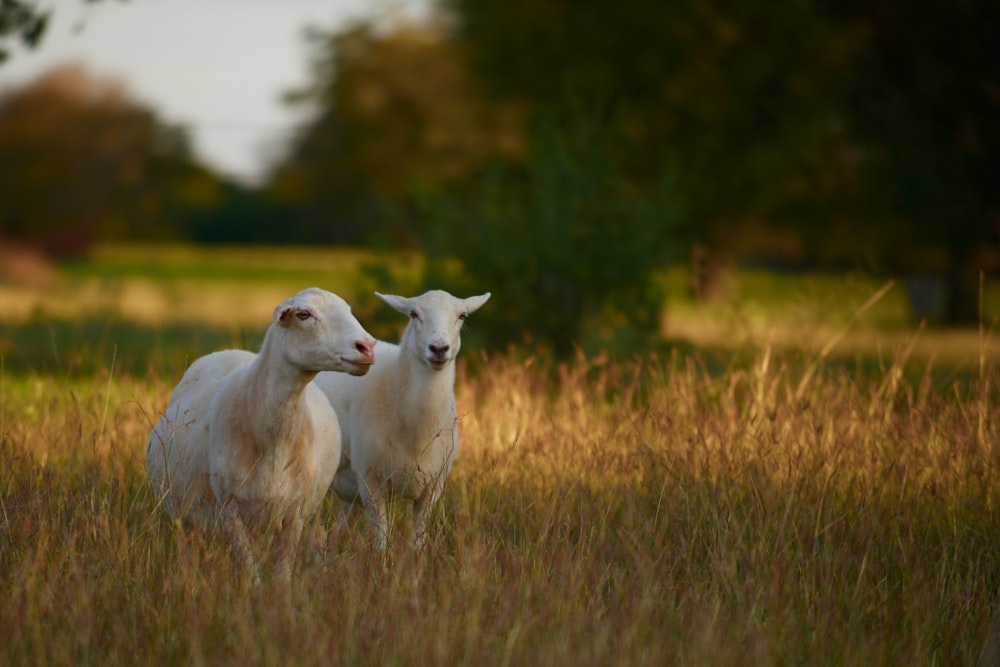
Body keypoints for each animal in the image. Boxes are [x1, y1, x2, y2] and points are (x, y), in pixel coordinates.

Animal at [148, 288, 378, 584]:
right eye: (303, 314)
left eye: (348, 309)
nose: (367, 346)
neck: (273, 442)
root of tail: (229, 352)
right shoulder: (230, 511)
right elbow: (251, 572)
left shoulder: (294, 515)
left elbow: (281, 576)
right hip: (185, 516)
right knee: (188, 551)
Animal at [314, 290, 490, 552]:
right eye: (413, 314)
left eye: (462, 316)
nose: (439, 348)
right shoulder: (370, 481)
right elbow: (381, 540)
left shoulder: (433, 486)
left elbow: (419, 540)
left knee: (337, 529)